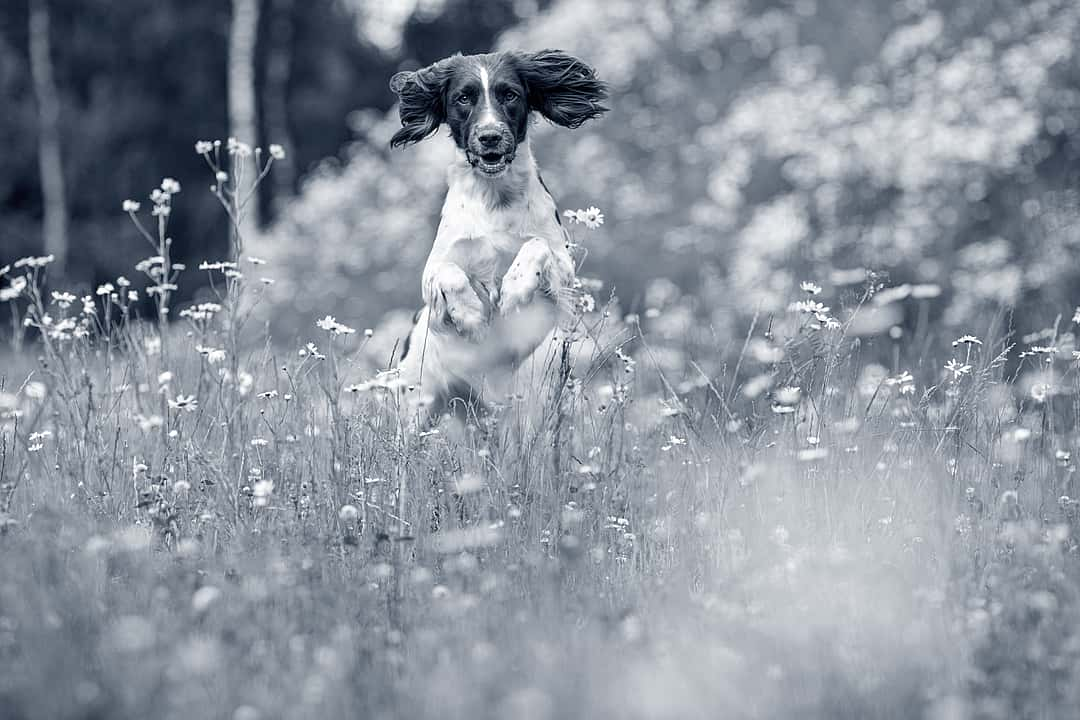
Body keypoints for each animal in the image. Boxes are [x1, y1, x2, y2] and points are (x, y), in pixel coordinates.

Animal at [378, 50, 609, 425]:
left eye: (510, 94)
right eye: (463, 98)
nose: (490, 136)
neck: (495, 196)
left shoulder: (564, 271)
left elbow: (536, 245)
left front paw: (514, 290)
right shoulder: (434, 270)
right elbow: (450, 274)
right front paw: (471, 316)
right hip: (419, 405)